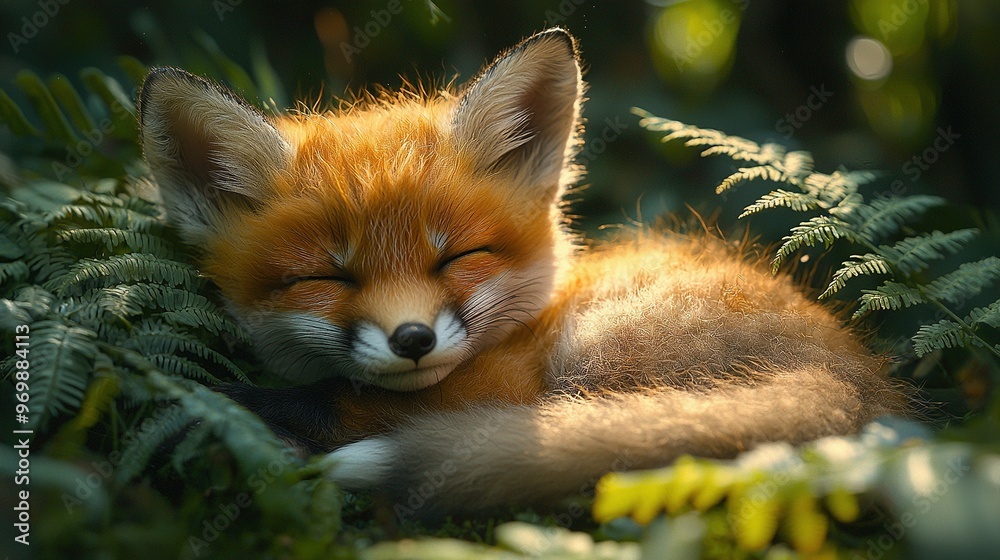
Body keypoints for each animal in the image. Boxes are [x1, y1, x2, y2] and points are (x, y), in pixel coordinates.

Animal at [138, 28, 906, 516]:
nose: (412, 339)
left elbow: (332, 401)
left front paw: (217, 404)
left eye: (457, 257)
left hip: (600, 350)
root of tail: (858, 389)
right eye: (327, 278)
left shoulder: (502, 387)